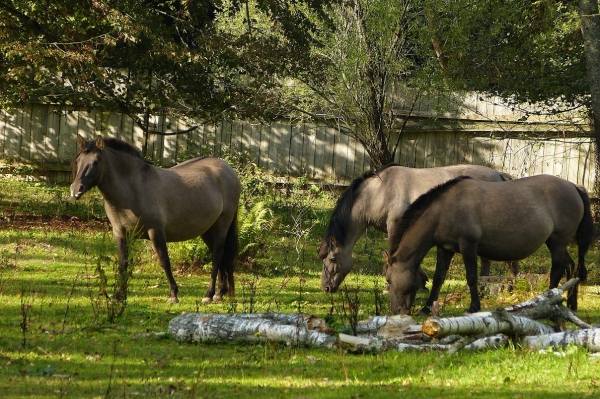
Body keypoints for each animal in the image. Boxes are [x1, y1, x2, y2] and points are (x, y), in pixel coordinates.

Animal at [70, 134, 239, 304]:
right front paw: (118, 297)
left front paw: (173, 295)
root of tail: (228, 170)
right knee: (221, 256)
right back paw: (219, 293)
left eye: (96, 162)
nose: (75, 190)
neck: (134, 189)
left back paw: (209, 294)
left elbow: (164, 261)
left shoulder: (155, 231)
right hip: (207, 230)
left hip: (222, 224)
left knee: (217, 255)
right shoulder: (120, 233)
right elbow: (123, 264)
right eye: (78, 160)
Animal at [316, 163, 516, 296]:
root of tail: (498, 175)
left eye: (332, 258)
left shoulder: (395, 225)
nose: (326, 287)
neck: (378, 192)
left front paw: (390, 286)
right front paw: (421, 282)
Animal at [382, 175, 592, 316]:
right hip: (556, 243)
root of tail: (574, 186)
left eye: (389, 280)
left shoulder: (468, 245)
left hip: (558, 241)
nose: (396, 311)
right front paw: (426, 308)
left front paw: (474, 307)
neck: (444, 209)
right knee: (570, 266)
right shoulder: (445, 249)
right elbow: (438, 278)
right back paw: (570, 304)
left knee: (557, 270)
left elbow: (472, 278)